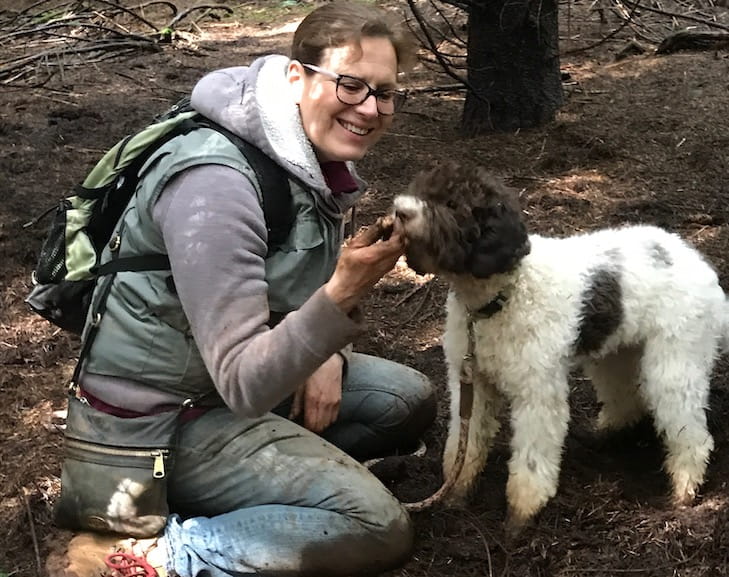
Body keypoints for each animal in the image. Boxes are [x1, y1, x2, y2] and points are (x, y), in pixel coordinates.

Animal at [392, 160, 728, 532]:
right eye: (420, 191)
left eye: (452, 204)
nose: (399, 210)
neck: (502, 295)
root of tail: (697, 262)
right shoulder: (473, 384)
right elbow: (465, 445)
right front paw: (456, 493)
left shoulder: (537, 393)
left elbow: (531, 459)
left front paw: (520, 515)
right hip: (617, 351)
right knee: (625, 395)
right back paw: (608, 432)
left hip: (674, 363)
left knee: (692, 433)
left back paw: (684, 490)